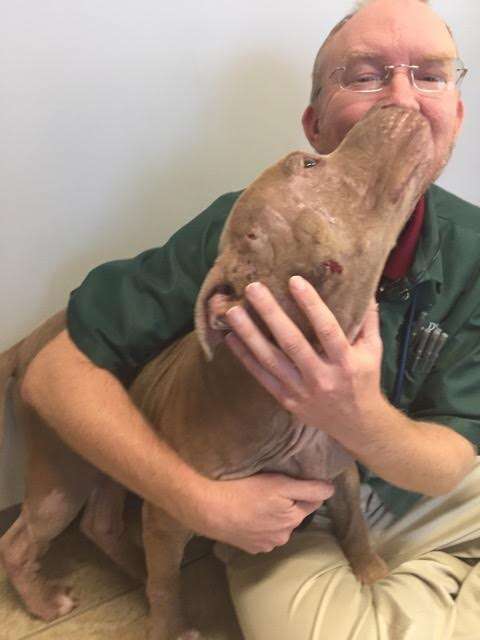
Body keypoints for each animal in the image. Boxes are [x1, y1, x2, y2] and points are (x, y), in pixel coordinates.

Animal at [0, 105, 436, 640]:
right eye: (309, 163)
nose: (395, 105)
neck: (290, 410)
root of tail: (28, 341)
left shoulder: (341, 470)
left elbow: (353, 522)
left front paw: (371, 572)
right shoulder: (170, 513)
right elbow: (168, 587)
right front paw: (168, 628)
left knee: (100, 522)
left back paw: (132, 566)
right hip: (63, 470)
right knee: (23, 540)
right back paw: (45, 601)